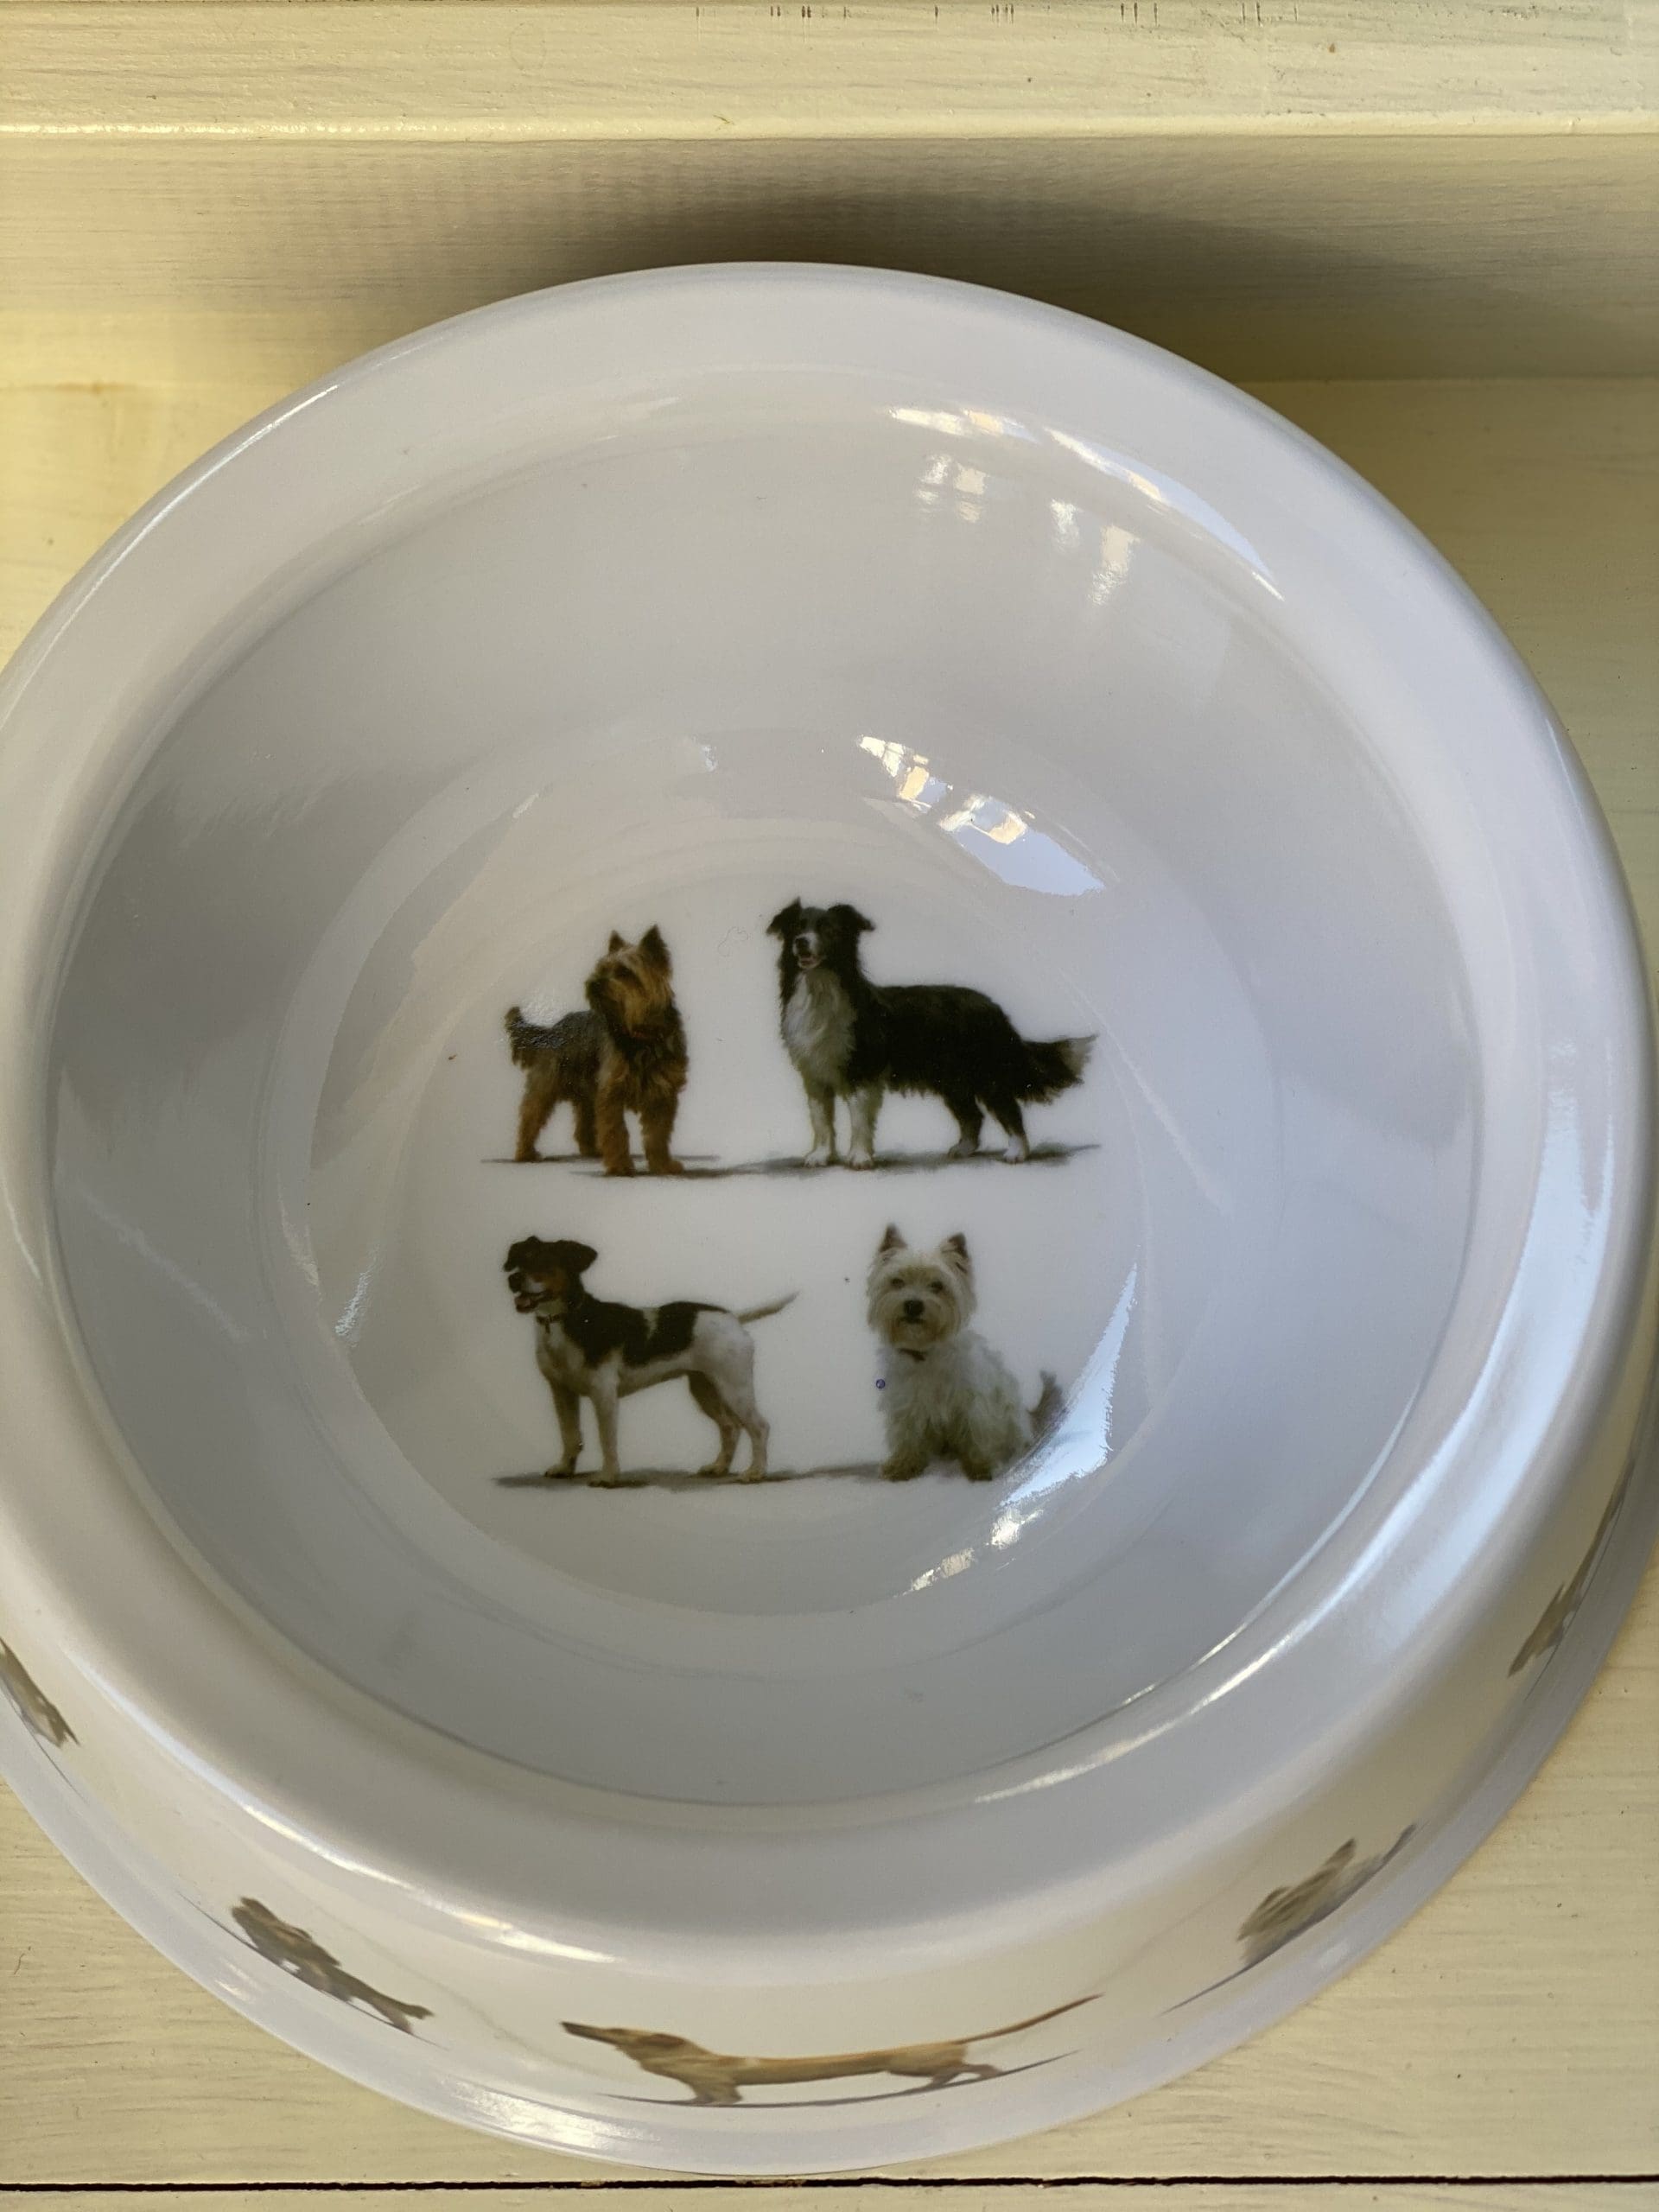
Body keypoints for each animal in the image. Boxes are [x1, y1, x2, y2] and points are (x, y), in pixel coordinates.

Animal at [505, 926, 687, 1175]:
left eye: (624, 972)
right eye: (601, 969)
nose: (593, 983)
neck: (639, 1035)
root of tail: (553, 1030)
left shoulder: (662, 1093)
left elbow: (658, 1134)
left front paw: (663, 1165)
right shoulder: (611, 1092)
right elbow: (616, 1131)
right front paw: (620, 1167)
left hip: (587, 1093)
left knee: (583, 1124)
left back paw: (591, 1151)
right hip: (547, 1084)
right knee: (530, 1116)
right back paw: (525, 1153)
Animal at [506, 1235, 794, 1484]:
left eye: (546, 1261)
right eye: (520, 1260)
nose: (514, 1279)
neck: (567, 1321)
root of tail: (733, 1318)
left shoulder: (604, 1394)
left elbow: (606, 1439)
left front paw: (608, 1476)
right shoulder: (562, 1393)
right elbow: (569, 1435)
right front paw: (565, 1468)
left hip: (735, 1389)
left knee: (760, 1427)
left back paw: (756, 1472)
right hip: (705, 1389)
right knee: (730, 1427)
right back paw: (719, 1467)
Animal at [767, 900, 1093, 1168]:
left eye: (828, 930)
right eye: (797, 928)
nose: (801, 943)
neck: (820, 989)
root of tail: (994, 1008)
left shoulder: (862, 1070)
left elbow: (859, 1120)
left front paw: (859, 1158)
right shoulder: (815, 1075)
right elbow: (821, 1120)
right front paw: (820, 1156)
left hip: (987, 1074)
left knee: (1010, 1111)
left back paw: (1016, 1153)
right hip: (954, 1080)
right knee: (973, 1116)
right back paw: (963, 1150)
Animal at [867, 1226, 1060, 1481]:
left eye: (937, 1285)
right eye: (897, 1282)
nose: (913, 1305)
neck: (926, 1353)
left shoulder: (974, 1402)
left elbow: (977, 1432)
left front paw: (981, 1466)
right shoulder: (906, 1402)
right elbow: (907, 1435)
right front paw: (902, 1465)